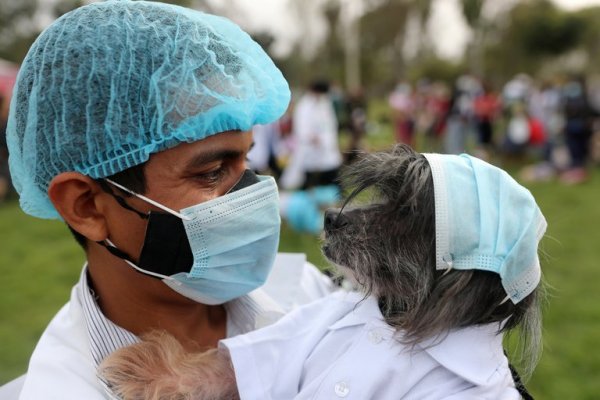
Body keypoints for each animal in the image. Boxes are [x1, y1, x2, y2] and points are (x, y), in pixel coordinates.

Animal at [98, 145, 544, 400]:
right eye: (386, 195)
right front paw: (150, 369)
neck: (394, 324)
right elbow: (226, 367)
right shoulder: (290, 346)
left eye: (407, 211)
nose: (330, 216)